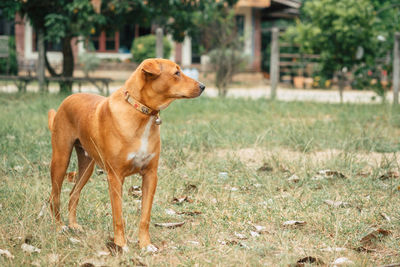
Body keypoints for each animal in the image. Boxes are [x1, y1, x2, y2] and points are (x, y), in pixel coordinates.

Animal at [47, 58, 205, 253]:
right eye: (176, 73)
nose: (203, 86)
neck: (140, 111)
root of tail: (69, 97)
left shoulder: (151, 175)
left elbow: (145, 216)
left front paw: (145, 244)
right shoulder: (115, 177)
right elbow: (118, 216)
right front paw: (120, 244)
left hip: (87, 166)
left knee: (73, 194)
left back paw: (73, 225)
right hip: (60, 160)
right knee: (54, 197)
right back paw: (59, 226)